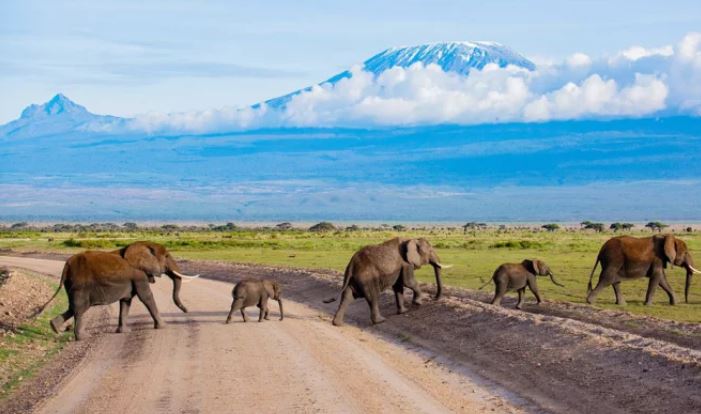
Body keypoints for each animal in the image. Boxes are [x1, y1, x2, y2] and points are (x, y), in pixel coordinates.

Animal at [41, 239, 197, 340]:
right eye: (166, 256)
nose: (187, 311)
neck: (144, 244)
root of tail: (66, 266)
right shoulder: (139, 275)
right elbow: (146, 296)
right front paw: (164, 326)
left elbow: (126, 301)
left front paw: (124, 332)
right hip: (80, 286)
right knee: (79, 309)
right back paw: (83, 337)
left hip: (72, 285)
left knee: (72, 308)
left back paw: (55, 328)